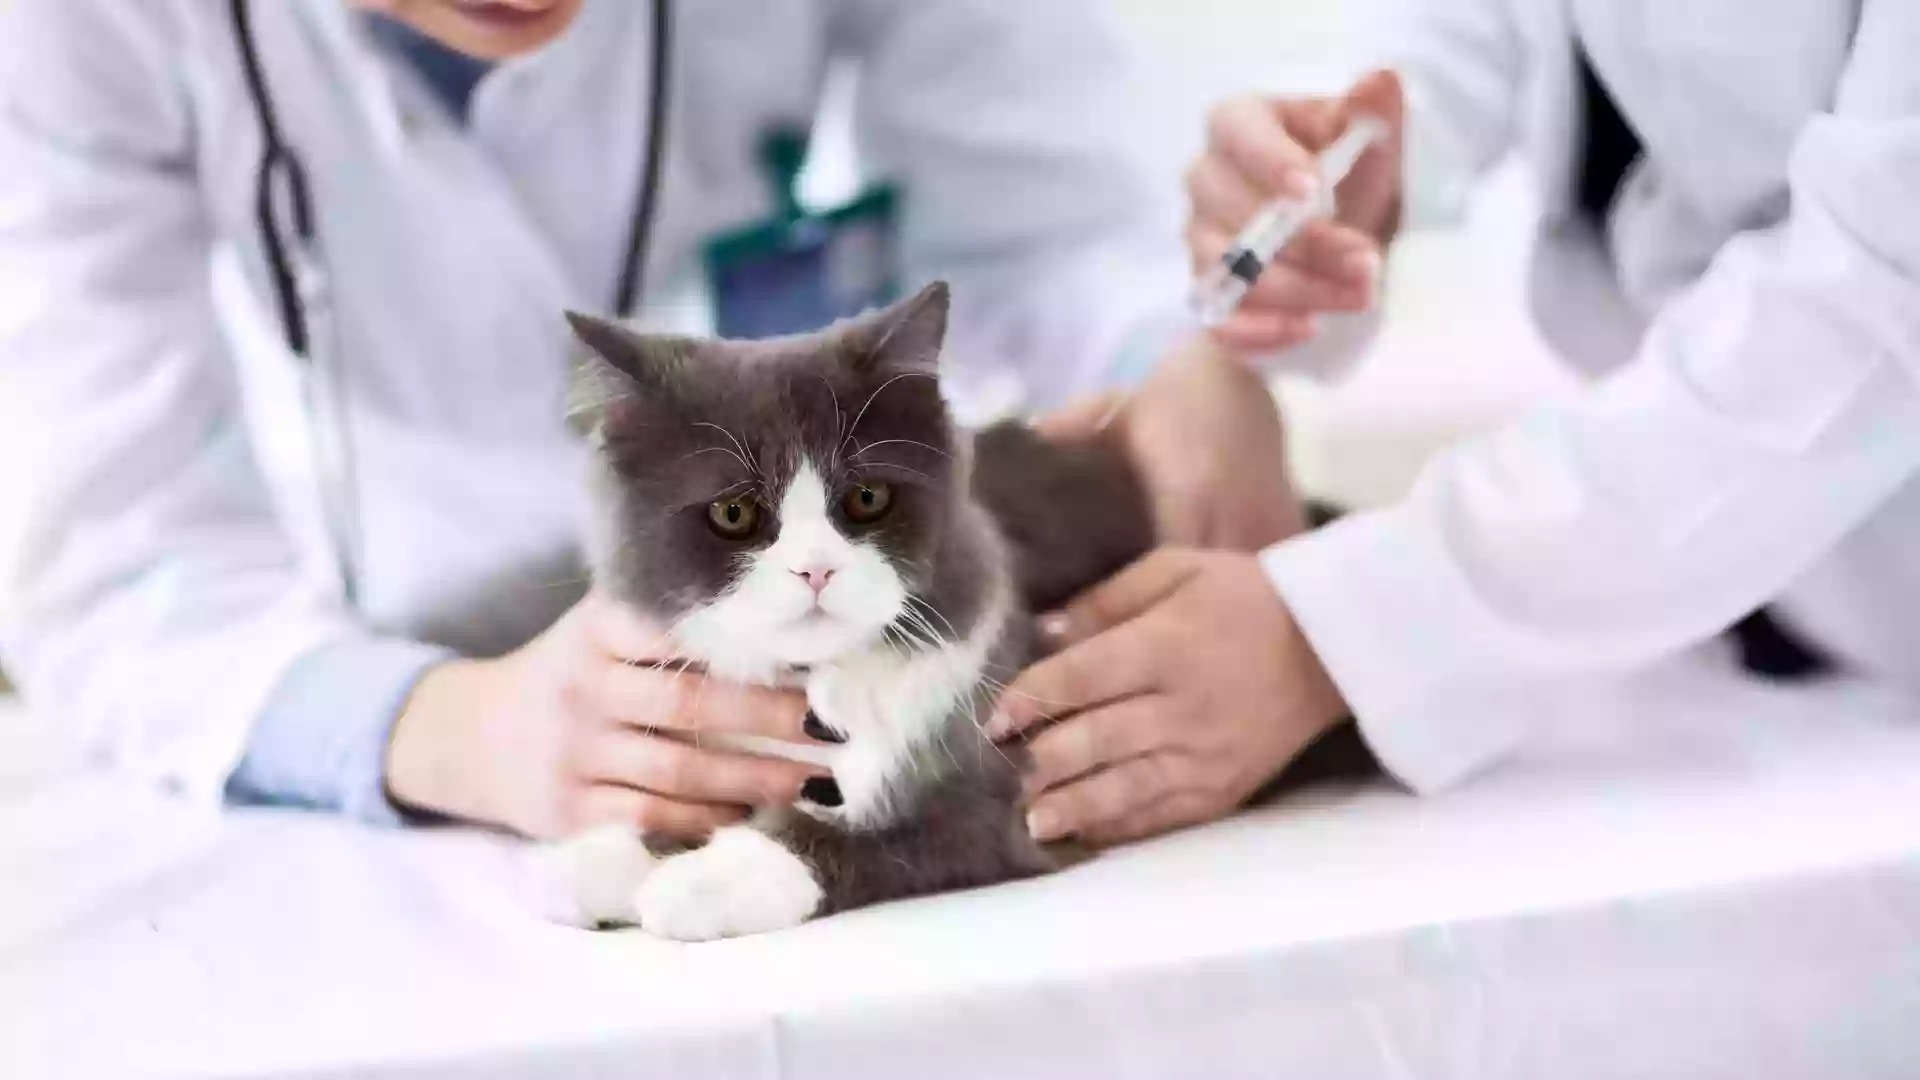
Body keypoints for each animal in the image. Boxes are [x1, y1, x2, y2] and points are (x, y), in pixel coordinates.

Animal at [533, 282, 1144, 937]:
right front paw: (605, 857)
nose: (816, 569)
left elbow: (868, 836)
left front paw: (712, 878)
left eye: (867, 497)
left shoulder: (1013, 792)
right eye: (733, 513)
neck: (811, 680)